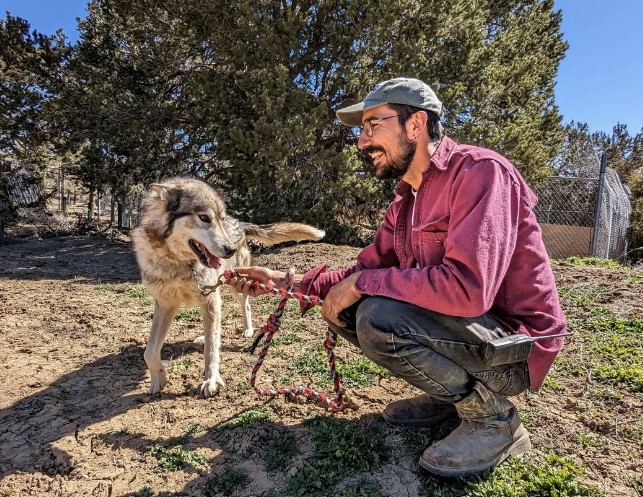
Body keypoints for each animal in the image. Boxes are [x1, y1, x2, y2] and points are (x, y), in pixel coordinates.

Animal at [131, 176, 324, 398]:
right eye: (204, 218)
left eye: (219, 219)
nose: (231, 249)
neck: (178, 263)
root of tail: (239, 223)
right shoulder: (166, 304)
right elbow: (150, 352)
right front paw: (158, 380)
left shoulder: (209, 298)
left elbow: (212, 349)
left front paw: (211, 380)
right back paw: (202, 338)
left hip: (235, 286)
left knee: (244, 307)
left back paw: (247, 330)